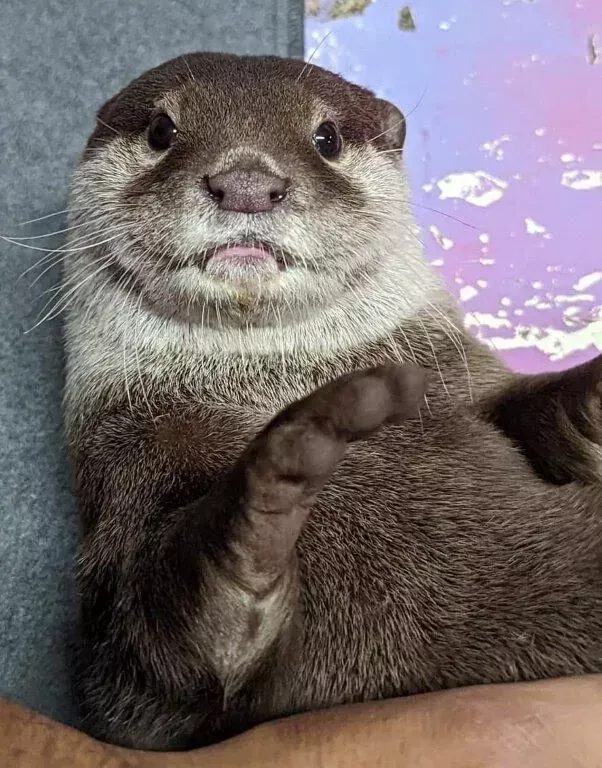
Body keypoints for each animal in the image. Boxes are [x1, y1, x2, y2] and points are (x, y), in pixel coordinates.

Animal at [62, 53, 602, 750]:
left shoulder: (462, 378)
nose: (246, 183)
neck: (273, 379)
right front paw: (273, 481)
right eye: (161, 130)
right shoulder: (122, 479)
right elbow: (161, 649)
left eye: (327, 138)